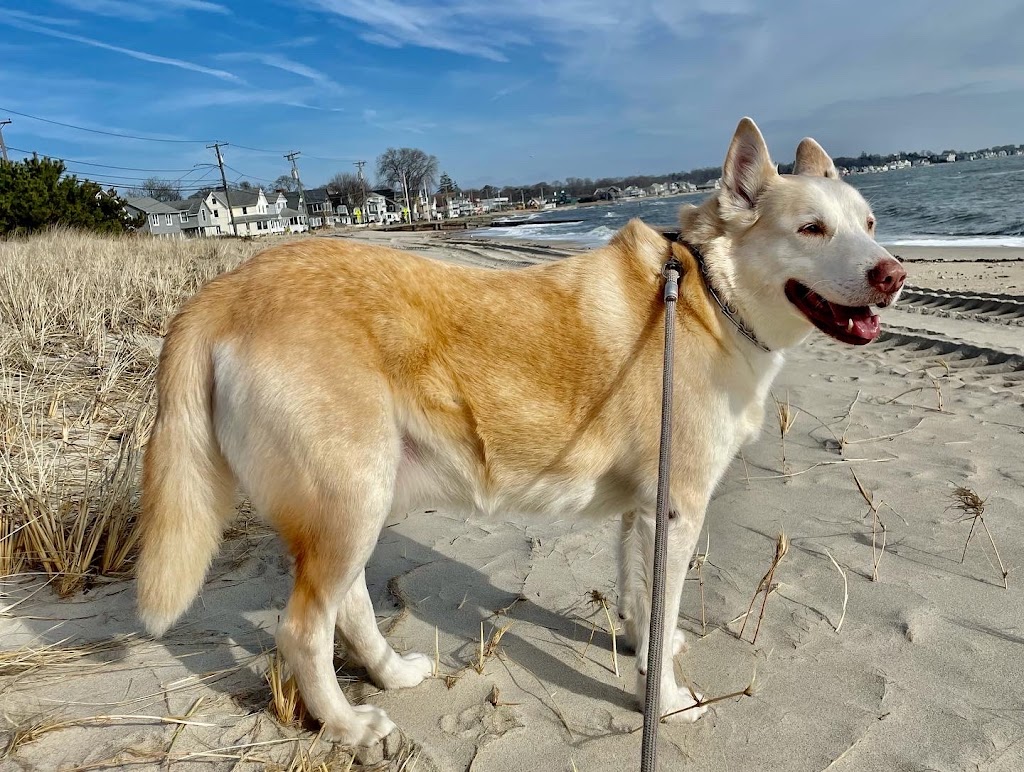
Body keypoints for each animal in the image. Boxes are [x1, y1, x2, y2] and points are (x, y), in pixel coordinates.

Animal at [134, 117, 905, 741]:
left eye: (869, 225)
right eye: (811, 230)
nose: (894, 275)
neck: (709, 295)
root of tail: (223, 292)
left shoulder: (644, 511)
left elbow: (641, 597)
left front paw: (646, 647)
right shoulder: (677, 510)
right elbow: (659, 604)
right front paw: (667, 700)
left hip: (353, 503)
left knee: (345, 607)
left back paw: (391, 674)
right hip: (349, 500)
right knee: (302, 633)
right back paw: (348, 727)